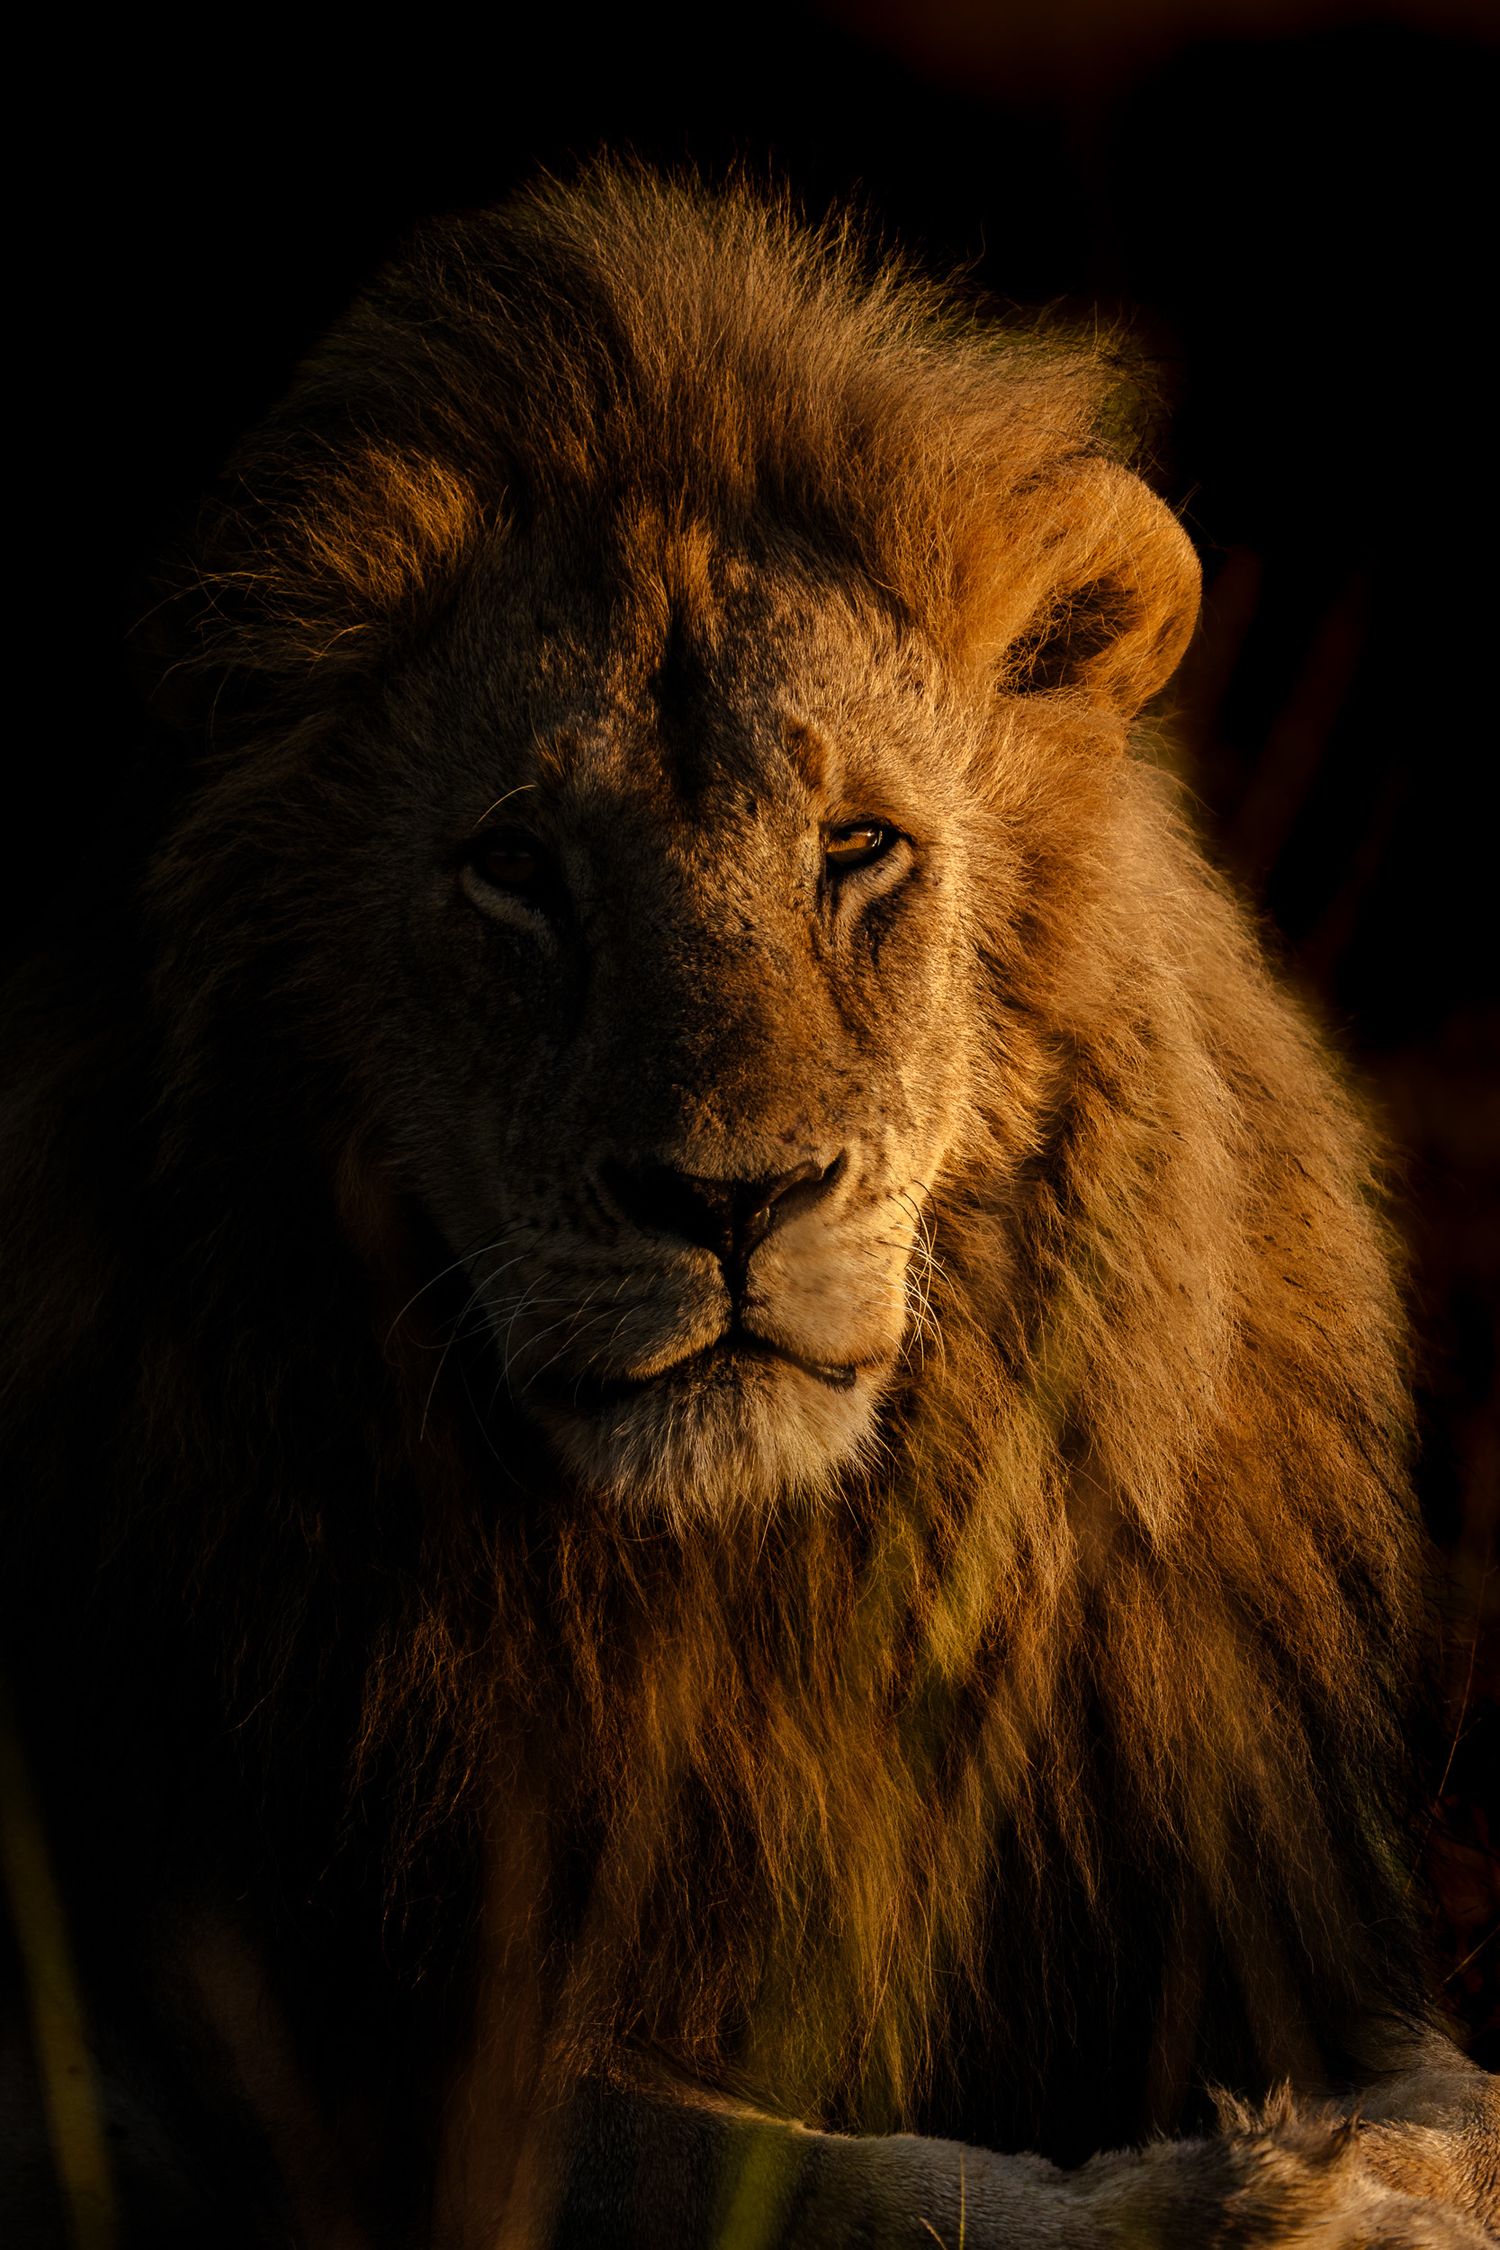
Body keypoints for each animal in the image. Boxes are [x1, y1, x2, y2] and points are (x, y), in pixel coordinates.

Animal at [1, 163, 1494, 2248]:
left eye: (857, 846)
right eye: (517, 868)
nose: (733, 1200)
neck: (766, 1590)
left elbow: (1454, 2092)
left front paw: (1367, 2172)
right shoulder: (339, 2050)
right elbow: (805, 2168)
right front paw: (1228, 2195)